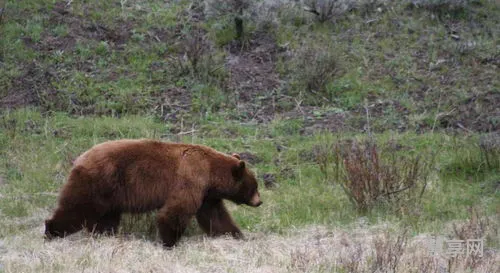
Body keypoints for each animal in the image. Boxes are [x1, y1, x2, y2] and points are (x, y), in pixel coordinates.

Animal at [44, 139, 262, 245]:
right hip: (96, 182)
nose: (259, 202)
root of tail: (79, 158)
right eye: (255, 186)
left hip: (110, 194)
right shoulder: (191, 179)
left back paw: (105, 236)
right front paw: (169, 242)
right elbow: (176, 210)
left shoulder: (207, 195)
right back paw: (51, 231)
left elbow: (216, 217)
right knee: (76, 209)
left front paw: (236, 236)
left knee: (106, 218)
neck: (210, 172)